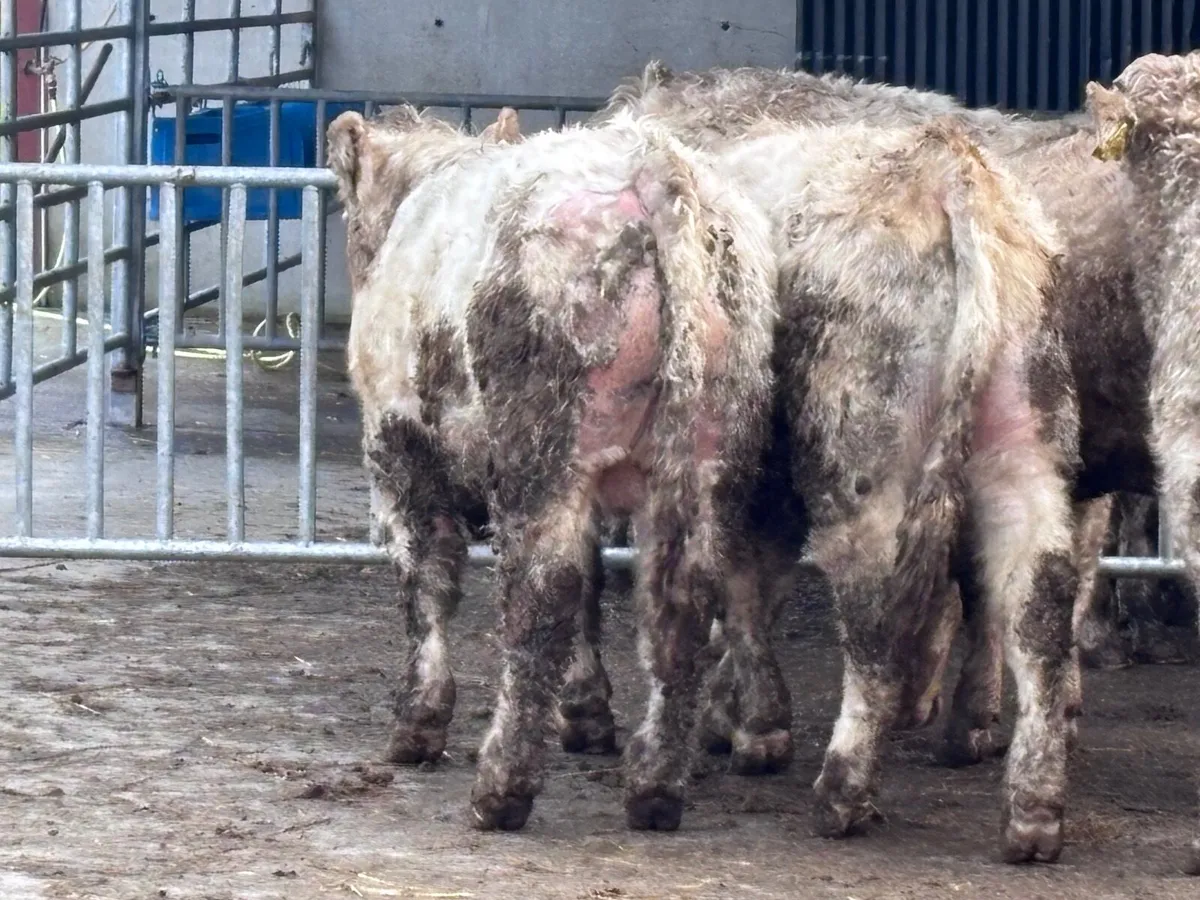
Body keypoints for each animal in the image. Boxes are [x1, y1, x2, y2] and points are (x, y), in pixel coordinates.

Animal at [327, 103, 780, 832]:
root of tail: (655, 164)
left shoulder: (400, 448)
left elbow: (428, 581)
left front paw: (417, 723)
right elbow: (595, 580)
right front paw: (586, 712)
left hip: (540, 447)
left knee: (543, 593)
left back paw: (501, 786)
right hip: (703, 455)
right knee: (679, 599)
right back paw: (654, 789)